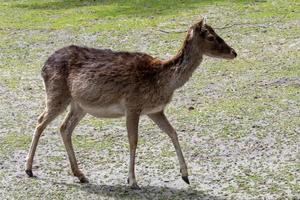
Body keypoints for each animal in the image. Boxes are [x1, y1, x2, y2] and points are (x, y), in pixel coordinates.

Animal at [24, 17, 237, 189]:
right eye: (211, 37)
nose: (234, 52)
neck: (161, 81)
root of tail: (43, 67)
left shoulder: (155, 110)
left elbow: (173, 132)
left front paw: (185, 176)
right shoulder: (133, 106)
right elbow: (133, 140)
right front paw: (133, 181)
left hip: (79, 105)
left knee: (64, 128)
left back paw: (81, 175)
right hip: (57, 94)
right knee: (41, 121)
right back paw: (29, 169)